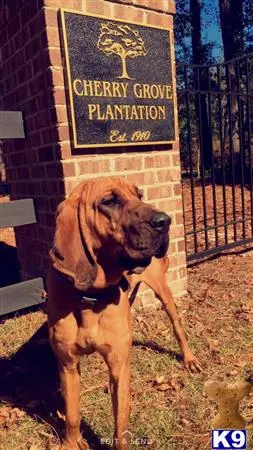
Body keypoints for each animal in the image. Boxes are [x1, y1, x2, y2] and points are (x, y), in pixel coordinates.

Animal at [47, 177, 200, 450]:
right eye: (110, 201)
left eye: (139, 195)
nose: (165, 221)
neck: (91, 299)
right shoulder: (67, 365)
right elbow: (72, 415)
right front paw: (72, 443)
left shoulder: (119, 365)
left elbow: (121, 424)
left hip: (163, 292)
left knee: (177, 326)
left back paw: (189, 358)